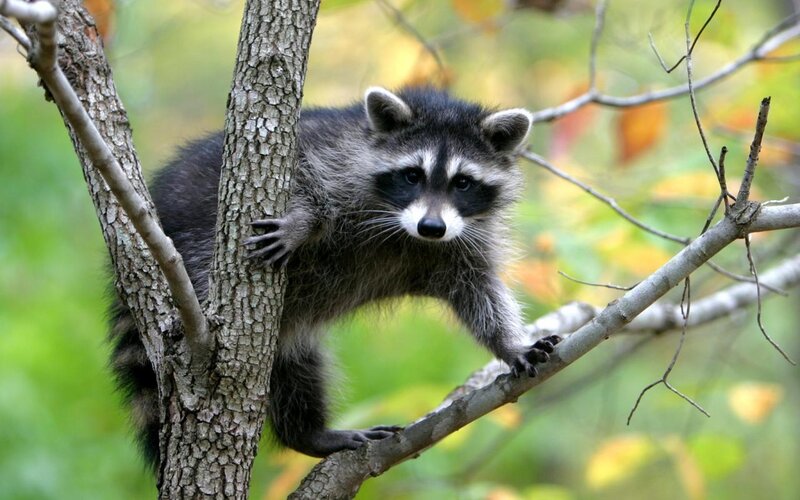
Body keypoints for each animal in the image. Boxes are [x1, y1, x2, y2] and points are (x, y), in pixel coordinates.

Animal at [109, 86, 560, 467]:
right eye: (412, 175)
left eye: (463, 182)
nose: (432, 227)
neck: (405, 232)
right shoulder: (333, 155)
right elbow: (304, 176)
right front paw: (302, 221)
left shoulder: (462, 242)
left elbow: (478, 292)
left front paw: (509, 344)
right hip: (196, 245)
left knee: (295, 369)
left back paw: (307, 433)